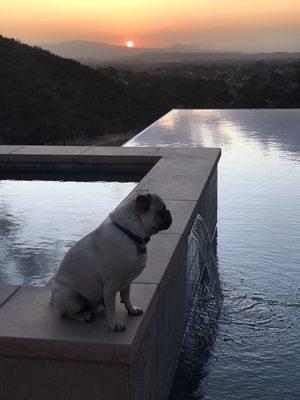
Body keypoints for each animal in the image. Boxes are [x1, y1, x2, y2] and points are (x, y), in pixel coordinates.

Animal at [49, 191, 171, 332]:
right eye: (161, 211)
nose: (169, 212)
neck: (129, 233)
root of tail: (52, 299)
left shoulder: (128, 281)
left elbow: (126, 297)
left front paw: (132, 310)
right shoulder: (110, 284)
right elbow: (112, 306)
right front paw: (114, 324)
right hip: (68, 296)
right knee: (65, 313)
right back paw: (82, 315)